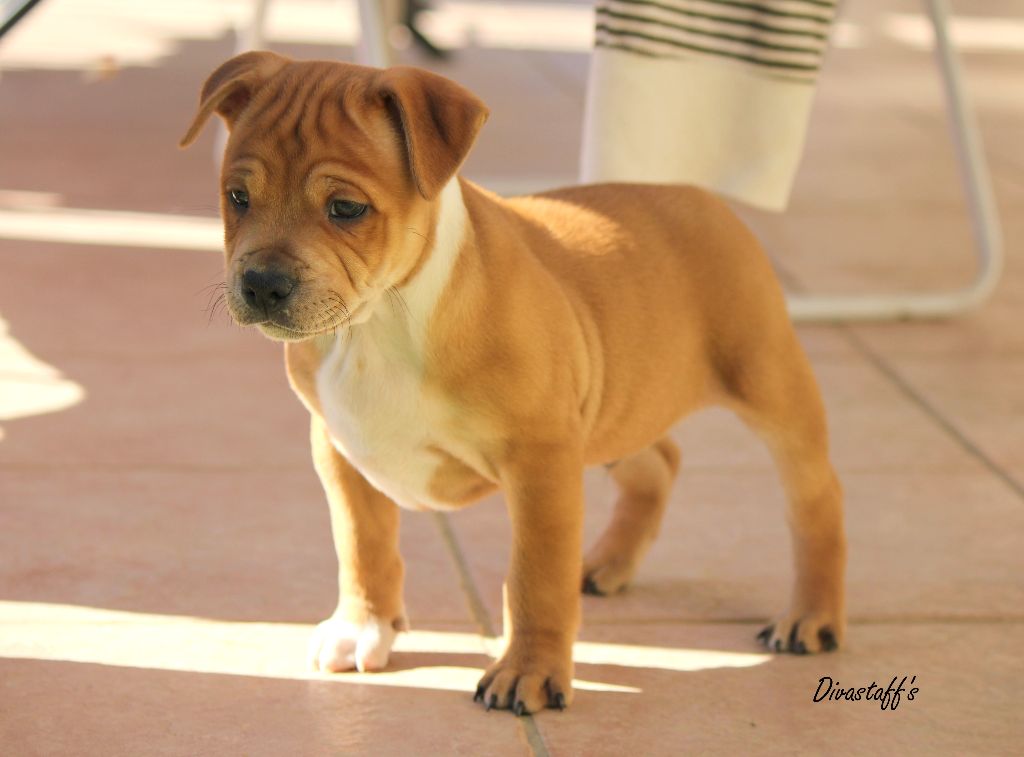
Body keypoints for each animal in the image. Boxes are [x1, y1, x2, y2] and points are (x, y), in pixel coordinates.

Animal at [180, 51, 846, 716]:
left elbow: (534, 579)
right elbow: (361, 546)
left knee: (815, 500)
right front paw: (362, 627)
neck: (381, 324)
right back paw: (608, 563)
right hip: (616, 404)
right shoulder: (340, 450)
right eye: (237, 197)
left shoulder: (542, 461)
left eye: (346, 209)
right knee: (658, 462)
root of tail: (697, 198)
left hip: (770, 386)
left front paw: (529, 670)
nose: (262, 283)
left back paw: (812, 616)